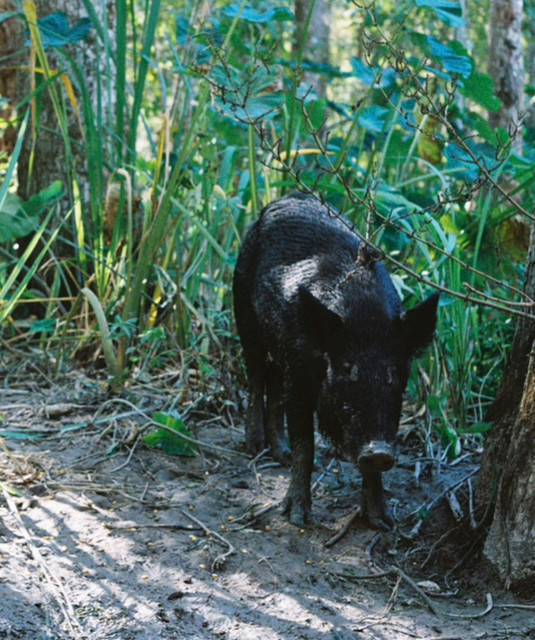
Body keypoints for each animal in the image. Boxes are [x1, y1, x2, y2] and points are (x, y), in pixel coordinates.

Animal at [233, 193, 439, 529]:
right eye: (346, 368)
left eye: (395, 371)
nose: (379, 450)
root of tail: (285, 198)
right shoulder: (299, 377)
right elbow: (306, 443)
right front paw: (297, 518)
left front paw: (381, 522)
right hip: (242, 310)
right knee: (256, 374)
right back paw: (254, 447)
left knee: (273, 381)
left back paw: (280, 454)